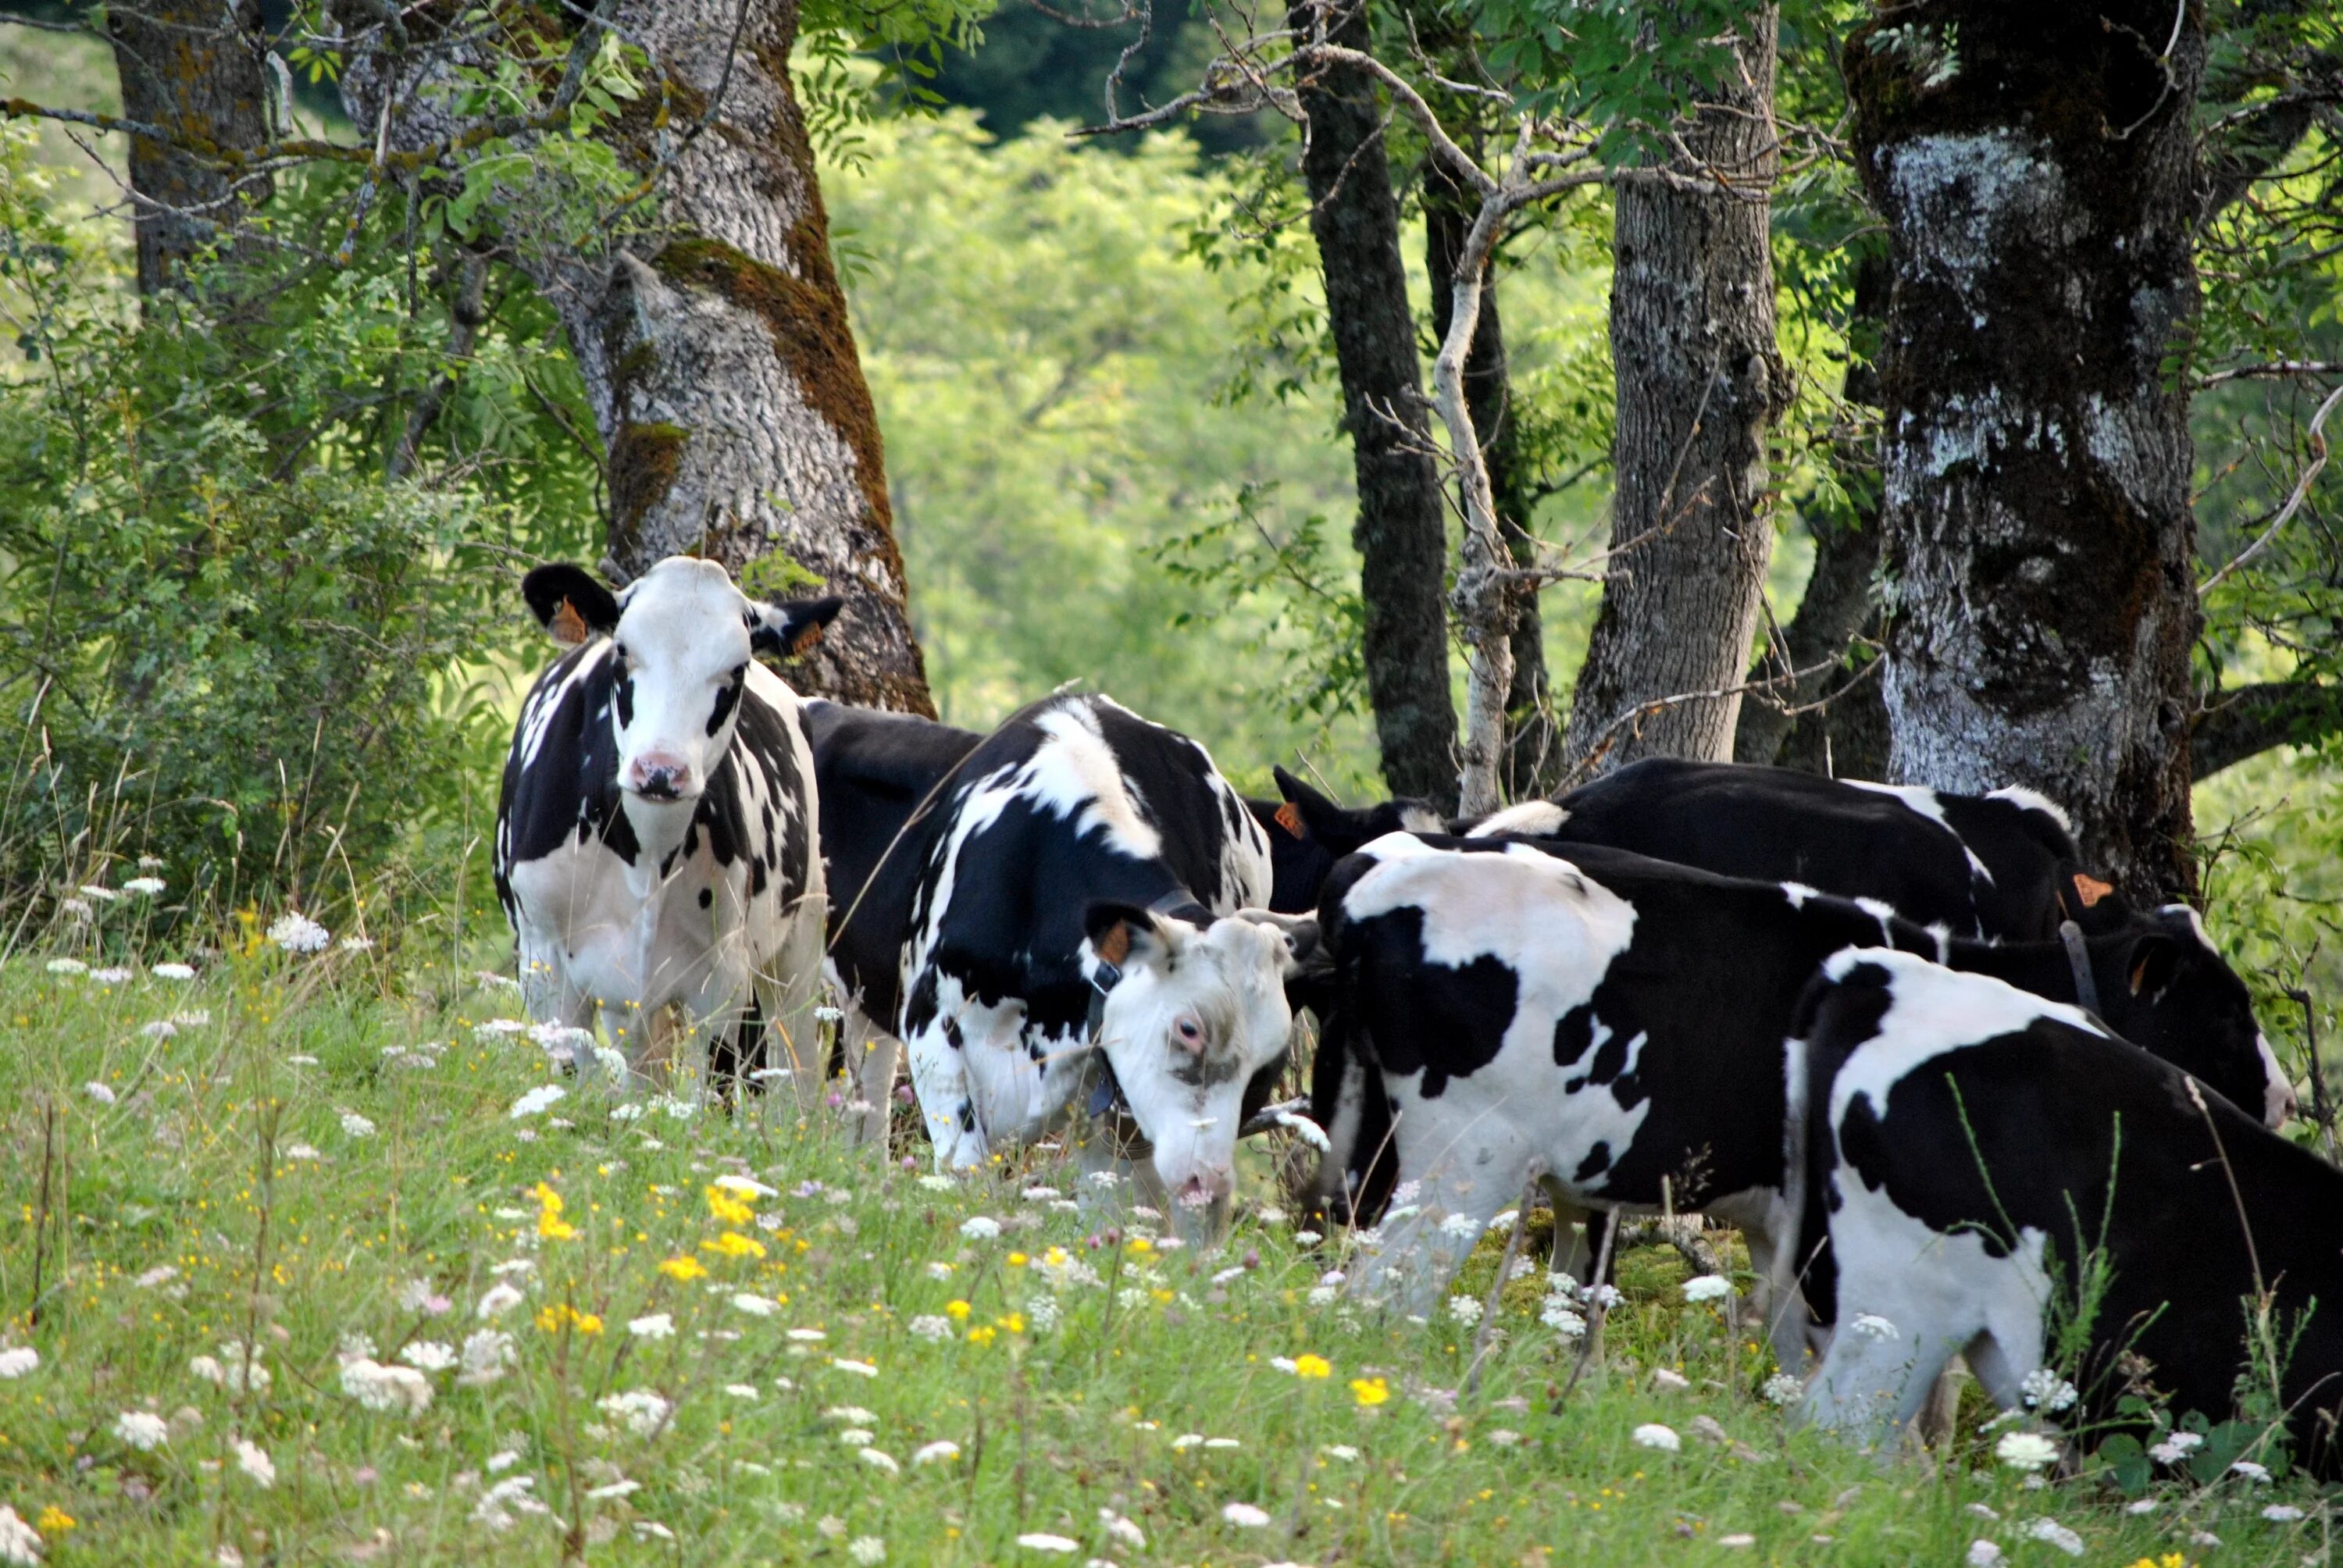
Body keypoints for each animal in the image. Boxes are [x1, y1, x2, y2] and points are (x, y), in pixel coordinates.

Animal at [494, 555, 843, 1096]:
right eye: (622, 649)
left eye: (736, 668)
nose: (661, 770)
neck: (645, 855)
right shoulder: (546, 965)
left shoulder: (723, 978)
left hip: (798, 944)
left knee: (797, 1072)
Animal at [806, 689, 1321, 1228]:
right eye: (1188, 1029)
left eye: (1270, 1064)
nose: (1210, 1181)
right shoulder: (934, 1031)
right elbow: (968, 1180)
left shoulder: (1109, 1106)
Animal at [1312, 829, 2296, 1321]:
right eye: (2223, 1010)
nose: (2285, 1097)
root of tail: (1373, 871)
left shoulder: (1774, 1216)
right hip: (1462, 1157)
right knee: (1380, 1294)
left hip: (1368, 1145)